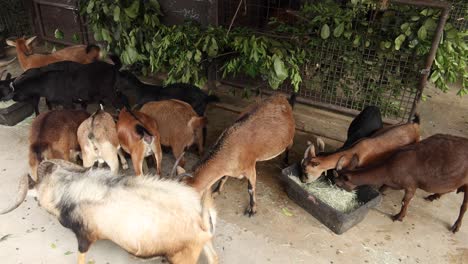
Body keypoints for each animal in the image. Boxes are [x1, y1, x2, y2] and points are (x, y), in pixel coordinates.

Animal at [334, 134, 468, 233]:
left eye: (338, 184)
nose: (334, 187)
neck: (389, 168)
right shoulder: (390, 182)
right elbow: (382, 190)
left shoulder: (411, 185)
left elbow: (405, 201)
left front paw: (399, 217)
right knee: (450, 188)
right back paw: (434, 196)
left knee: (464, 206)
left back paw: (456, 226)